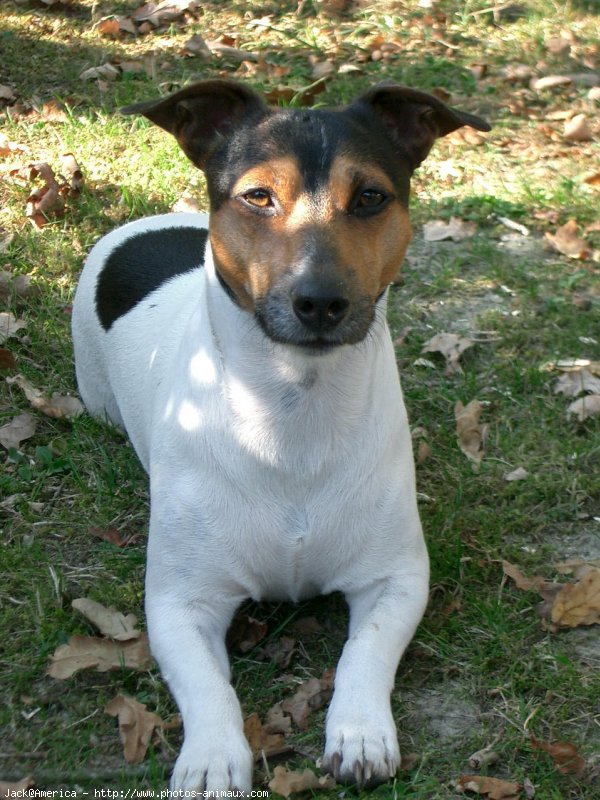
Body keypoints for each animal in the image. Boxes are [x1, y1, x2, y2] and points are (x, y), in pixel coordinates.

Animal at [70, 78, 490, 792]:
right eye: (258, 196)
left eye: (370, 196)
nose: (319, 301)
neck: (292, 411)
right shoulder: (181, 602)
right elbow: (208, 688)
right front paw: (212, 756)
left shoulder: (397, 577)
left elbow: (364, 652)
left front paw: (359, 730)